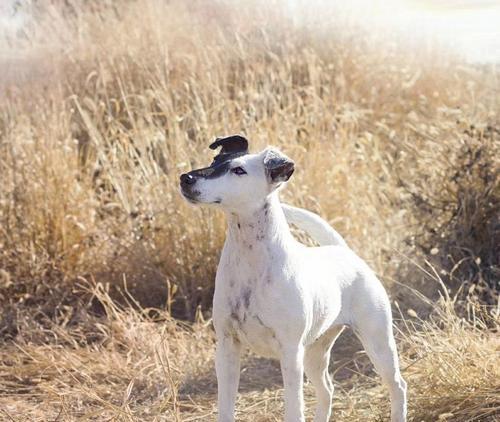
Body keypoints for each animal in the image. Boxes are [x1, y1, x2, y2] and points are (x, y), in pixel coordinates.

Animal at [180, 136, 406, 422]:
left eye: (238, 170)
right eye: (214, 161)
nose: (185, 178)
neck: (251, 261)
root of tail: (343, 251)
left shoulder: (289, 353)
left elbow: (294, 409)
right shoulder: (227, 348)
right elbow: (226, 409)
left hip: (378, 343)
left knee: (398, 386)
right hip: (315, 352)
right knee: (327, 390)